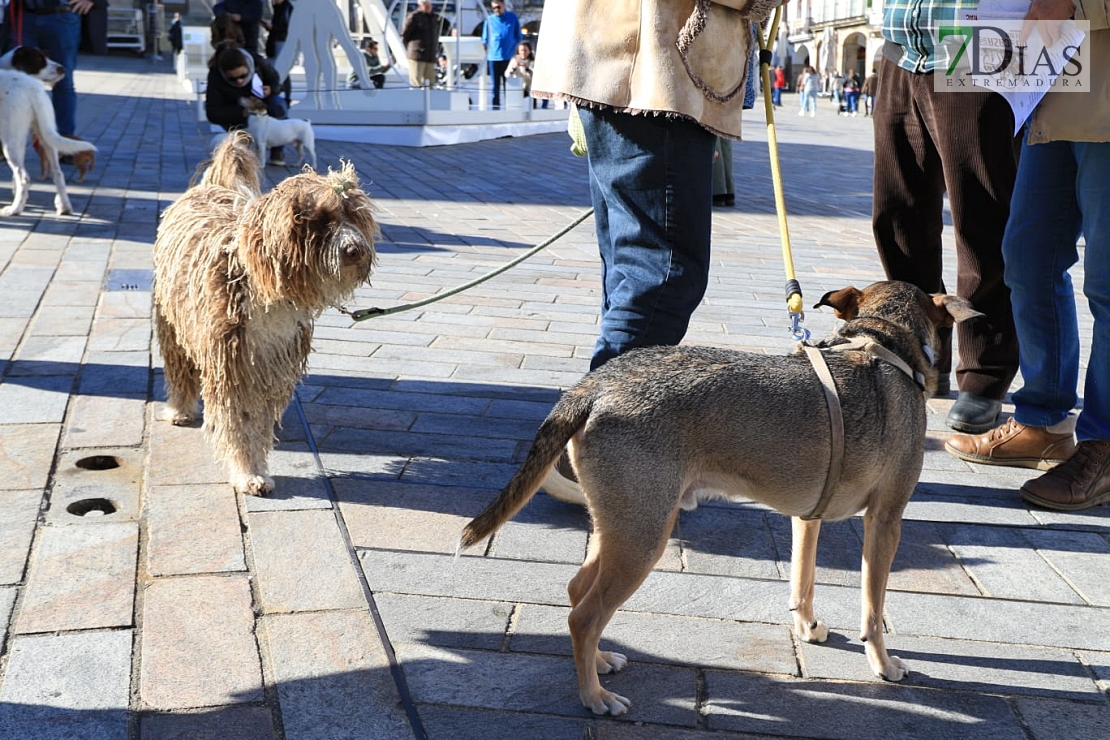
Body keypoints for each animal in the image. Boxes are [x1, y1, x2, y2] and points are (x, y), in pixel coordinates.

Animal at [0, 46, 97, 215]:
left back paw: (14, 209)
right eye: (40, 59)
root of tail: (32, 87)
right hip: (46, 136)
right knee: (58, 173)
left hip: (10, 142)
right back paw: (64, 207)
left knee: (24, 178)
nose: (63, 68)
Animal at [152, 131, 379, 497]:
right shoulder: (231, 364)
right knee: (179, 369)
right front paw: (248, 473)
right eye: (324, 220)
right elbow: (238, 423)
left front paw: (256, 466)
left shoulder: (271, 366)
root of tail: (213, 187)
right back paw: (179, 409)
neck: (263, 289)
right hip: (172, 321)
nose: (355, 250)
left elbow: (256, 424)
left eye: (354, 216)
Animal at [459, 279, 981, 718]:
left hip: (626, 523)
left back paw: (602, 661)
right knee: (584, 616)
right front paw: (883, 664)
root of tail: (594, 385)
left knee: (576, 594)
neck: (882, 341)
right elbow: (873, 608)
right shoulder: (886, 520)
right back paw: (594, 697)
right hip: (645, 537)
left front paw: (807, 629)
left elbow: (803, 583)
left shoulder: (805, 518)